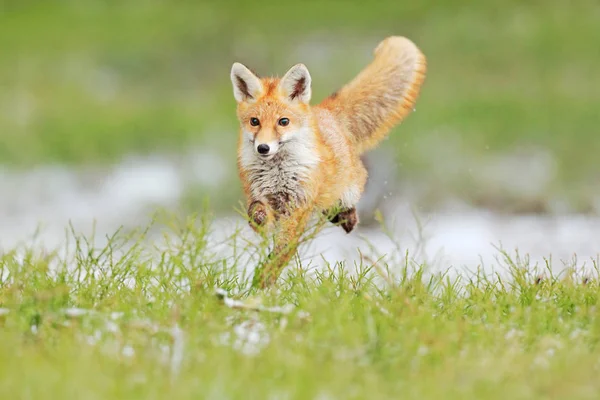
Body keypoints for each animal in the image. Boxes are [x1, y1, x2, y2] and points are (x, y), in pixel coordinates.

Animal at [230, 36, 426, 290]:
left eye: (283, 122)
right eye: (254, 122)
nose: (263, 148)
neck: (278, 173)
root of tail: (324, 112)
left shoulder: (298, 208)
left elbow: (281, 253)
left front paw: (264, 281)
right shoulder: (258, 194)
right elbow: (255, 212)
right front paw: (261, 222)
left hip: (346, 188)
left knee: (348, 198)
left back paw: (348, 218)